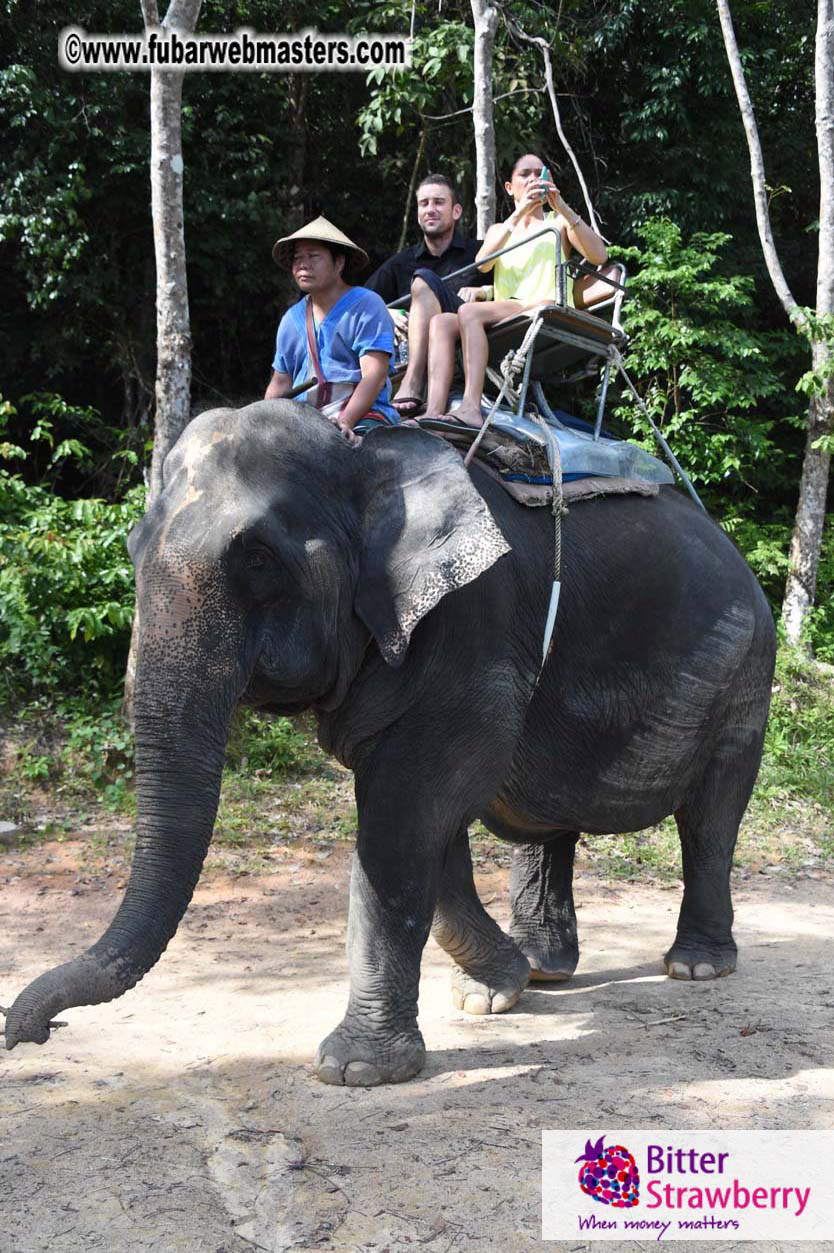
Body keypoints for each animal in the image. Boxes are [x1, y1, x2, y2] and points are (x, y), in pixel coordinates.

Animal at [5, 401, 776, 1086]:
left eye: (257, 559)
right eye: (132, 549)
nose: (27, 1030)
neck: (362, 456)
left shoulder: (472, 623)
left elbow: (408, 814)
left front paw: (356, 1070)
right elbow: (429, 821)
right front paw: (493, 992)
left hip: (746, 668)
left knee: (711, 816)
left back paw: (697, 966)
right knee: (545, 821)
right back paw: (546, 968)